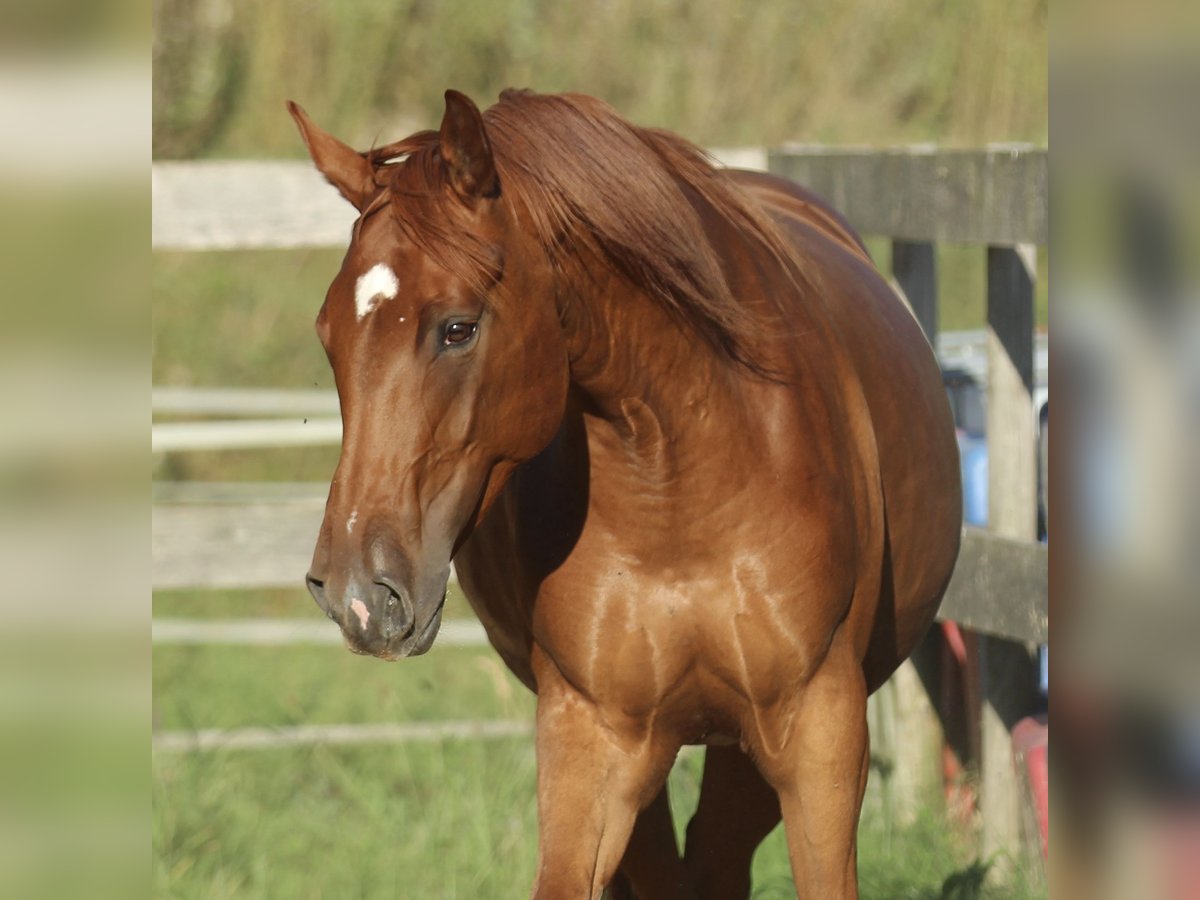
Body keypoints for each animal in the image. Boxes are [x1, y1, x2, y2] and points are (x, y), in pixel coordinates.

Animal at [292, 86, 964, 900]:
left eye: (457, 328)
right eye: (328, 336)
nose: (358, 593)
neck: (680, 491)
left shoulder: (816, 731)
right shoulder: (593, 738)